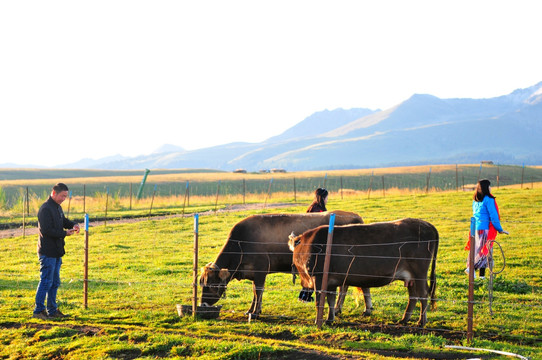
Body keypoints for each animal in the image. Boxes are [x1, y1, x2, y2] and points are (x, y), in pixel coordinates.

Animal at [198, 211, 364, 318]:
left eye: (211, 285)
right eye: (201, 283)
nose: (203, 304)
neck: (241, 244)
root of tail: (355, 216)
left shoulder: (261, 271)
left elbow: (258, 291)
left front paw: (255, 312)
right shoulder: (254, 274)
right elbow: (254, 292)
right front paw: (251, 310)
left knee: (343, 288)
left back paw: (337, 309)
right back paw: (337, 309)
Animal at [292, 218, 440, 328]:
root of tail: (427, 224)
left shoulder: (318, 277)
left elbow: (320, 302)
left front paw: (318, 321)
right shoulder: (331, 282)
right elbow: (331, 301)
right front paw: (329, 319)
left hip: (419, 273)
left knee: (423, 295)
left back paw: (421, 321)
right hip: (411, 278)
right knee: (413, 296)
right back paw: (404, 319)